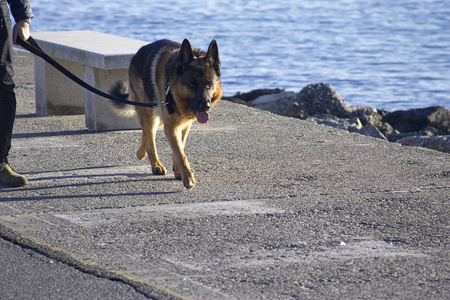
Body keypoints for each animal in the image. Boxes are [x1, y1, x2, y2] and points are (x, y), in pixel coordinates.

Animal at [109, 38, 221, 189]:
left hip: (158, 115)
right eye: (192, 85)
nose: (205, 107)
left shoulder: (183, 126)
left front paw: (179, 171)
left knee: (145, 132)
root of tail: (137, 53)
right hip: (150, 114)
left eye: (209, 84)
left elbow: (179, 148)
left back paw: (141, 152)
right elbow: (180, 154)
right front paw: (188, 178)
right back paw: (156, 164)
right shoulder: (171, 127)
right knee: (150, 139)